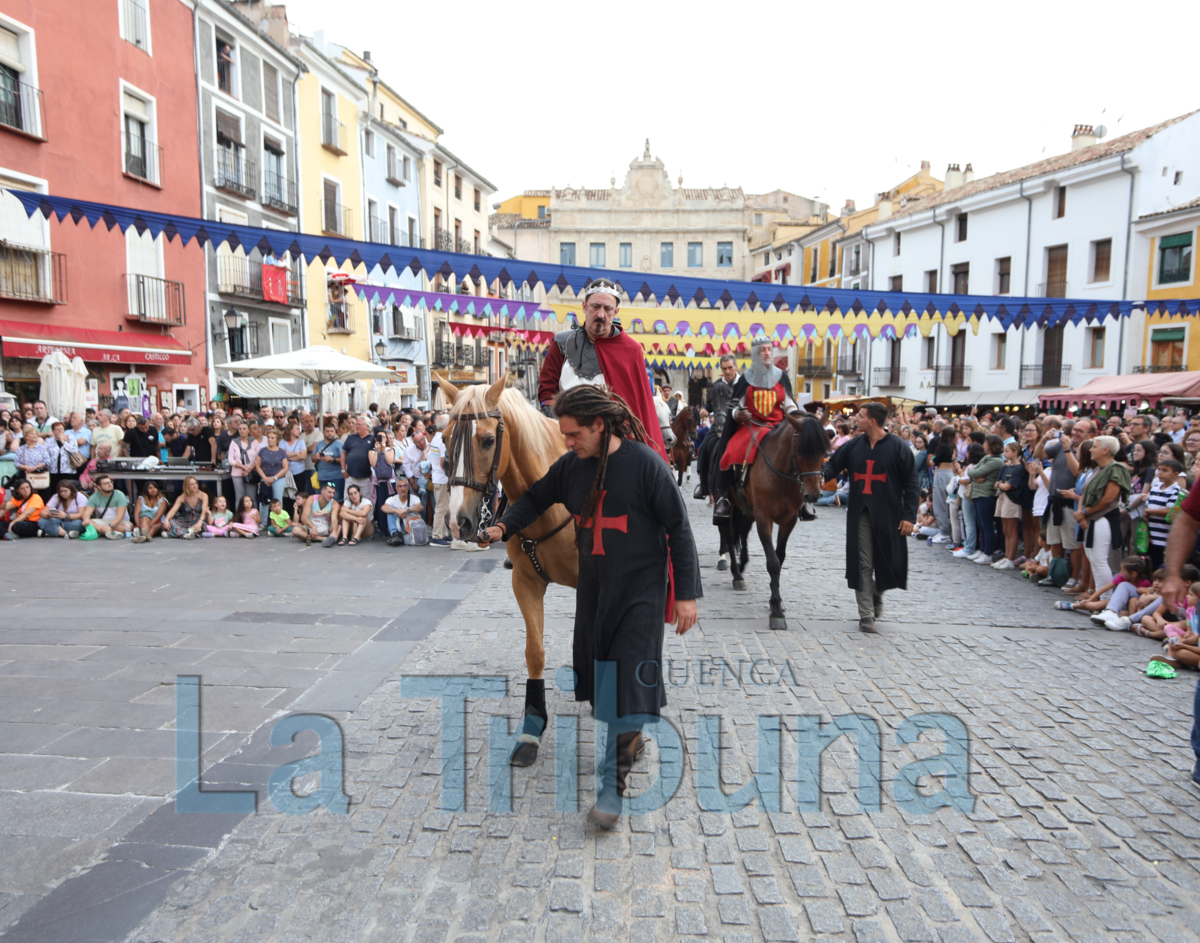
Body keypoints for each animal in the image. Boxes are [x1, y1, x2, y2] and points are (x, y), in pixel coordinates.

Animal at [439, 371, 578, 763]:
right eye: (444, 438)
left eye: (488, 440)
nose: (457, 523)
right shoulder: (525, 583)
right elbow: (535, 652)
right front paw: (531, 728)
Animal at [715, 412, 830, 628]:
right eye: (800, 450)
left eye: (825, 451)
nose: (813, 495)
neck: (783, 475)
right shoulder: (764, 518)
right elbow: (773, 562)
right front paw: (776, 610)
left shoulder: (788, 521)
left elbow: (780, 557)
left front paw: (775, 600)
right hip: (732, 506)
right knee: (730, 534)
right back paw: (736, 574)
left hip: (748, 510)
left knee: (742, 532)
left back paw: (742, 565)